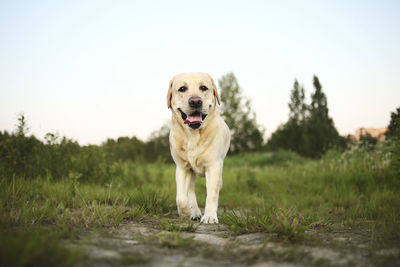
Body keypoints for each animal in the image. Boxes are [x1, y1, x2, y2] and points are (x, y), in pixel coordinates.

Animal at [167, 73, 230, 224]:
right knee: (190, 192)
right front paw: (185, 213)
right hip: (191, 172)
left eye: (203, 87)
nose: (195, 101)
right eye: (182, 89)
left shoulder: (214, 166)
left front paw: (210, 216)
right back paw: (194, 212)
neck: (193, 135)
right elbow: (181, 198)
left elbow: (212, 194)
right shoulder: (182, 168)